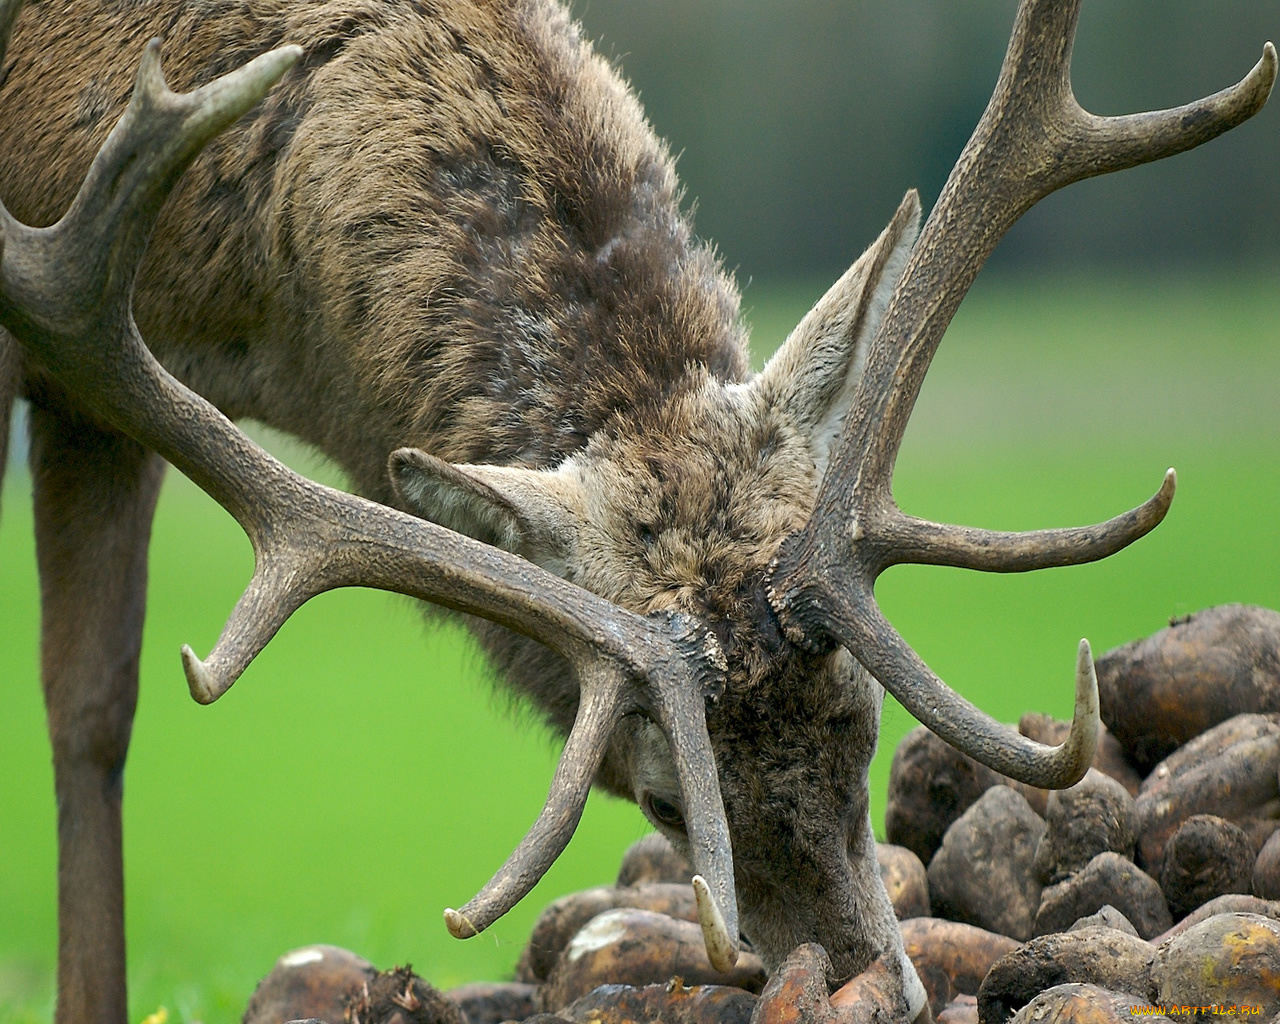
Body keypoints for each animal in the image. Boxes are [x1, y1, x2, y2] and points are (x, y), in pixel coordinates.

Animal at [0, 0, 1269, 1018]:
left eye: (861, 730)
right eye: (658, 797)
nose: (880, 988)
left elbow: (94, 707)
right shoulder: (72, 371)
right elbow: (85, 709)